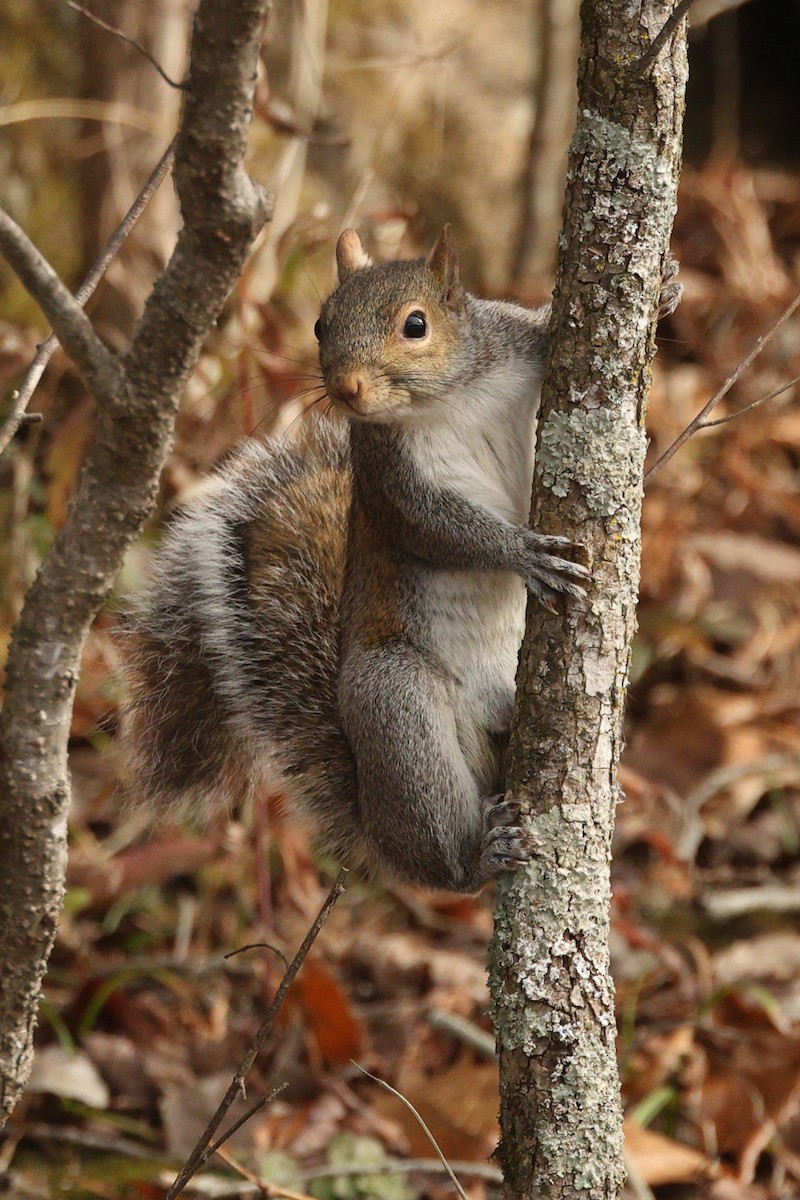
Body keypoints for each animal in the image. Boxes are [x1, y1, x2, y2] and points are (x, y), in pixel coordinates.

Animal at [122, 225, 661, 892]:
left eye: (416, 325)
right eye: (322, 324)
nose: (346, 388)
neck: (448, 398)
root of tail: (375, 825)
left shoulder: (517, 347)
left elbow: (541, 334)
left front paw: (667, 291)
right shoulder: (389, 476)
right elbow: (437, 530)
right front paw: (523, 554)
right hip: (394, 706)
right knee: (443, 852)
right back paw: (477, 856)